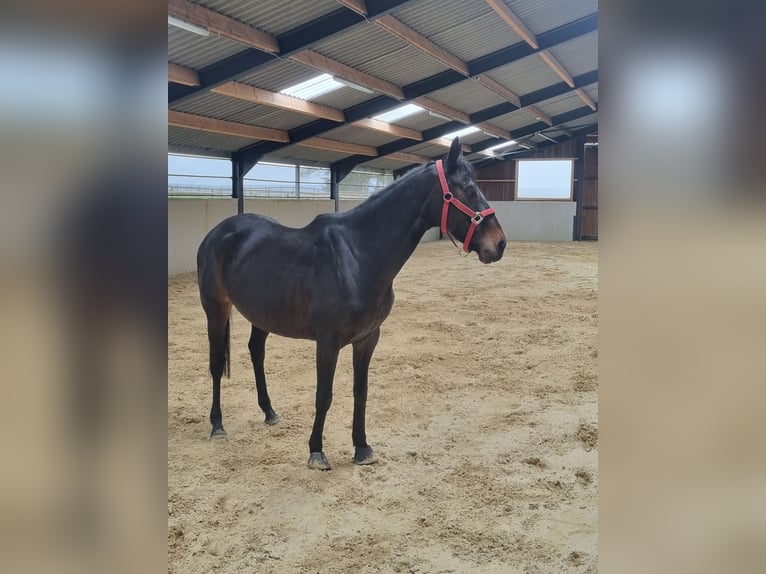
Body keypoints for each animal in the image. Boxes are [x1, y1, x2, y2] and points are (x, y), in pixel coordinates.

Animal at [197, 138, 506, 470]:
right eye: (469, 189)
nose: (499, 243)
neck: (357, 255)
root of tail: (217, 233)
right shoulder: (328, 342)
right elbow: (324, 394)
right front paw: (316, 452)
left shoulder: (368, 338)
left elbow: (361, 391)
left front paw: (362, 447)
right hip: (215, 308)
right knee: (216, 363)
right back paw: (217, 425)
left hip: (262, 314)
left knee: (256, 352)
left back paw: (269, 412)